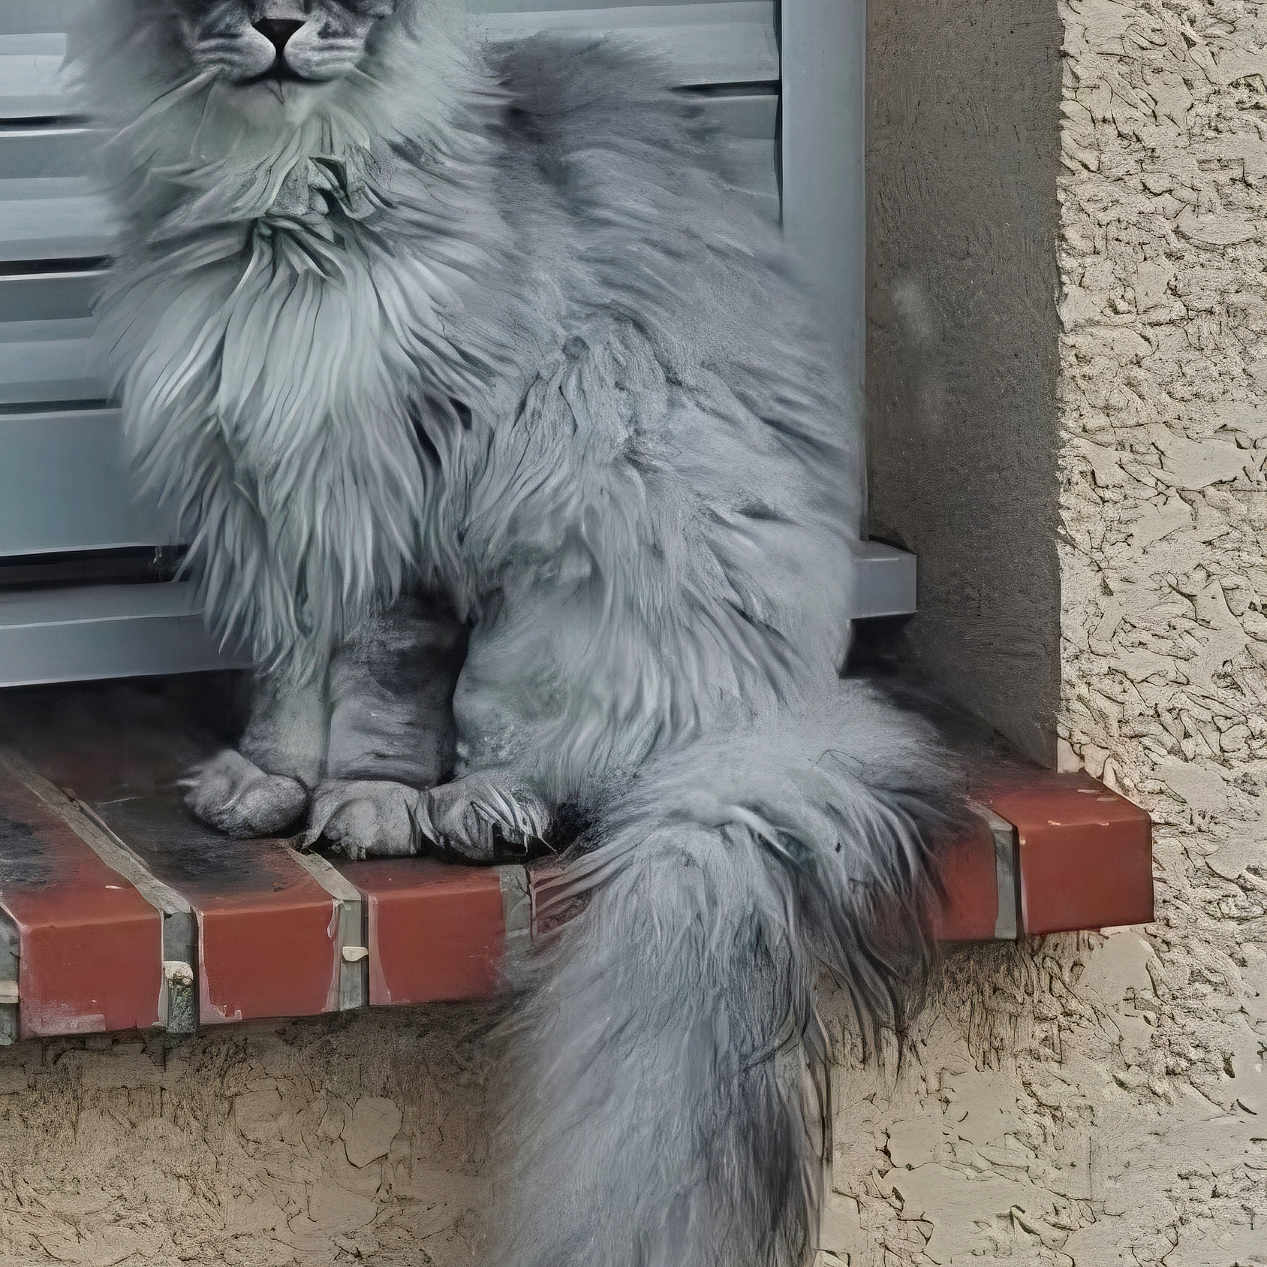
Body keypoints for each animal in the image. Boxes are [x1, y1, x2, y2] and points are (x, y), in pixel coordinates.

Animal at [70, 3, 960, 1262]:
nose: (282, 25)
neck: (280, 202)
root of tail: (793, 713)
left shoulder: (401, 506)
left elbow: (382, 689)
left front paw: (367, 804)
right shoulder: (277, 507)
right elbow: (289, 681)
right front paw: (270, 782)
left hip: (577, 602)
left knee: (572, 770)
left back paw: (477, 810)